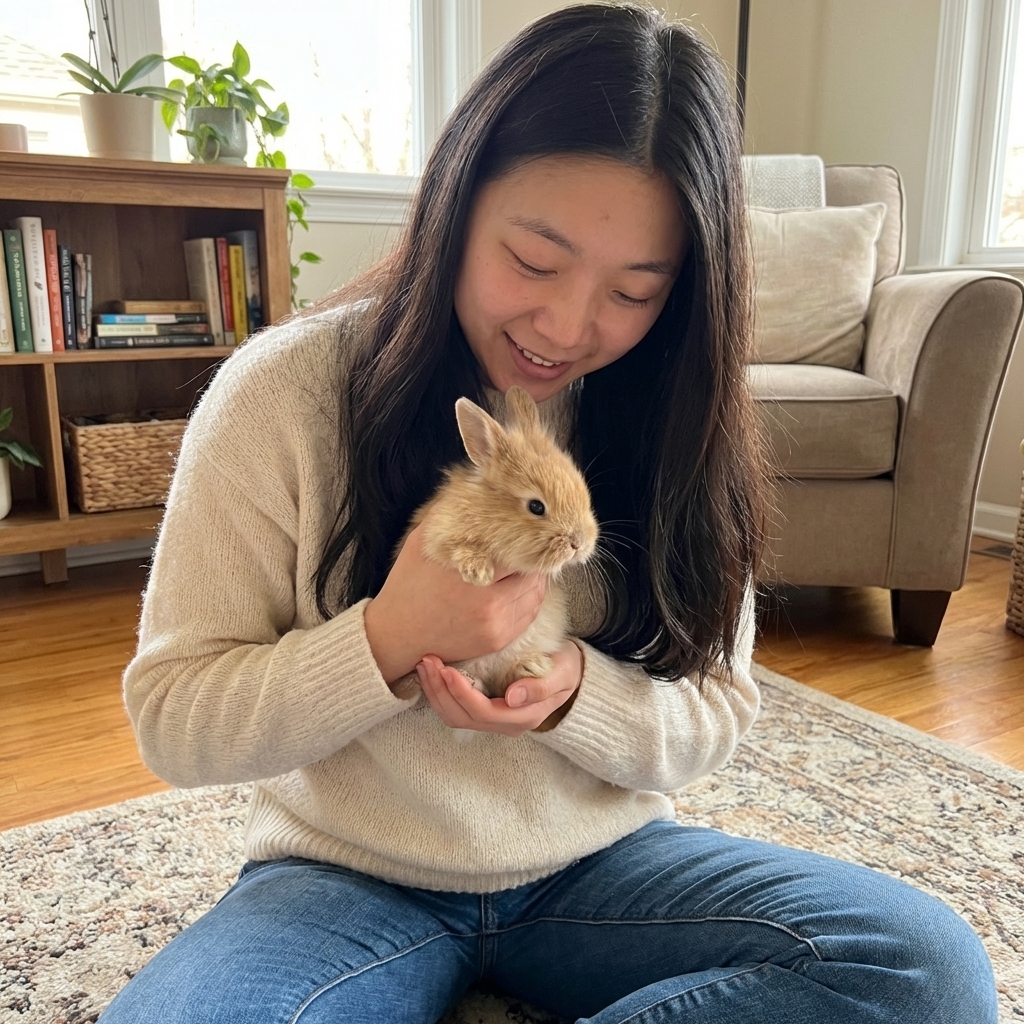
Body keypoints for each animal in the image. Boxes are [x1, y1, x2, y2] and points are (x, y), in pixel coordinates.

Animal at [391, 385, 598, 709]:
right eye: (536, 506)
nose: (581, 544)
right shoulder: (437, 535)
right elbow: (456, 548)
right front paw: (479, 573)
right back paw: (470, 680)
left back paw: (531, 667)